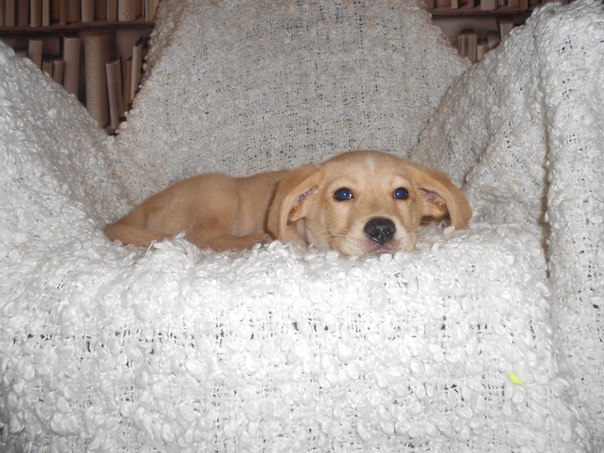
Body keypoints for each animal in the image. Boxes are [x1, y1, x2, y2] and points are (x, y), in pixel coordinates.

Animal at [105, 150, 471, 256]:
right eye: (342, 194)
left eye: (401, 194)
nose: (381, 229)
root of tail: (130, 216)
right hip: (219, 190)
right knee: (200, 237)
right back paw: (253, 241)